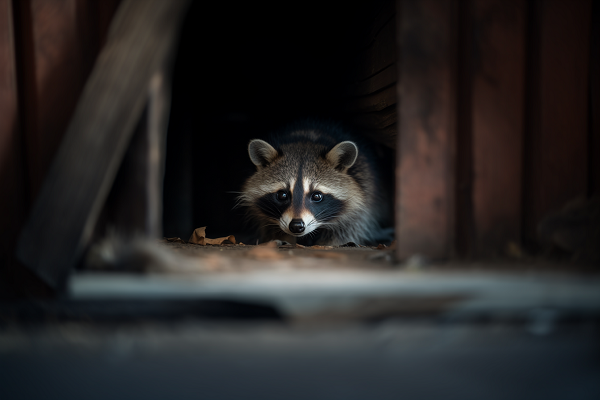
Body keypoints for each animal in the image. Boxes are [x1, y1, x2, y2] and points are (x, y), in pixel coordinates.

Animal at [239, 121, 394, 247]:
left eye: (317, 196)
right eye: (282, 195)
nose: (296, 226)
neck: (307, 138)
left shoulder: (364, 189)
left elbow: (350, 226)